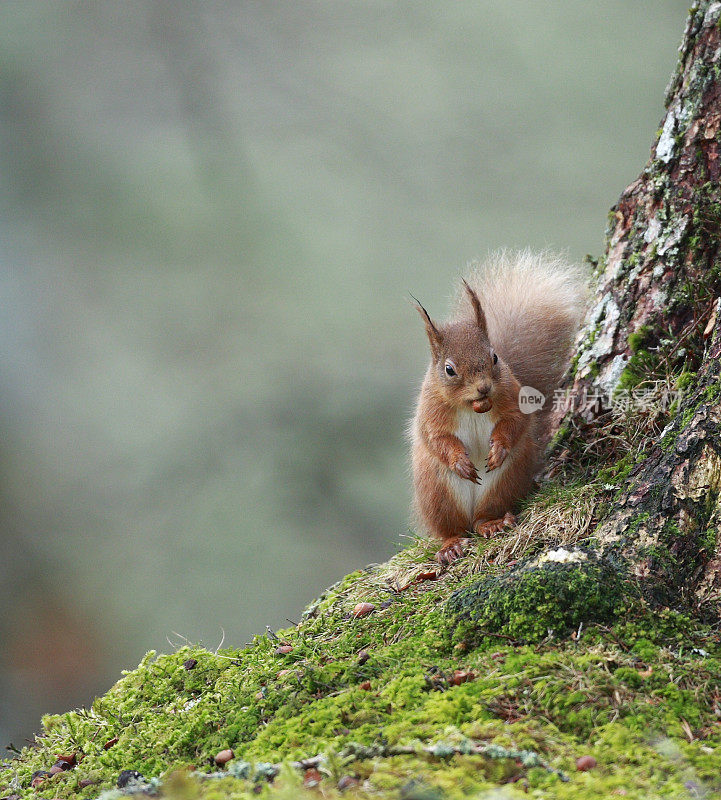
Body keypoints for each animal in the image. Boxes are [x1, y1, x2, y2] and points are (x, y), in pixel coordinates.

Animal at [410, 247, 584, 564]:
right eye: (449, 370)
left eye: (494, 357)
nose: (484, 387)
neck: (472, 405)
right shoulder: (430, 411)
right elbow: (436, 438)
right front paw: (459, 461)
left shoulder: (512, 397)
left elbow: (516, 422)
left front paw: (499, 448)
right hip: (437, 495)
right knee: (452, 529)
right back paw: (451, 545)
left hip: (503, 484)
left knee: (483, 518)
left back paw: (492, 523)